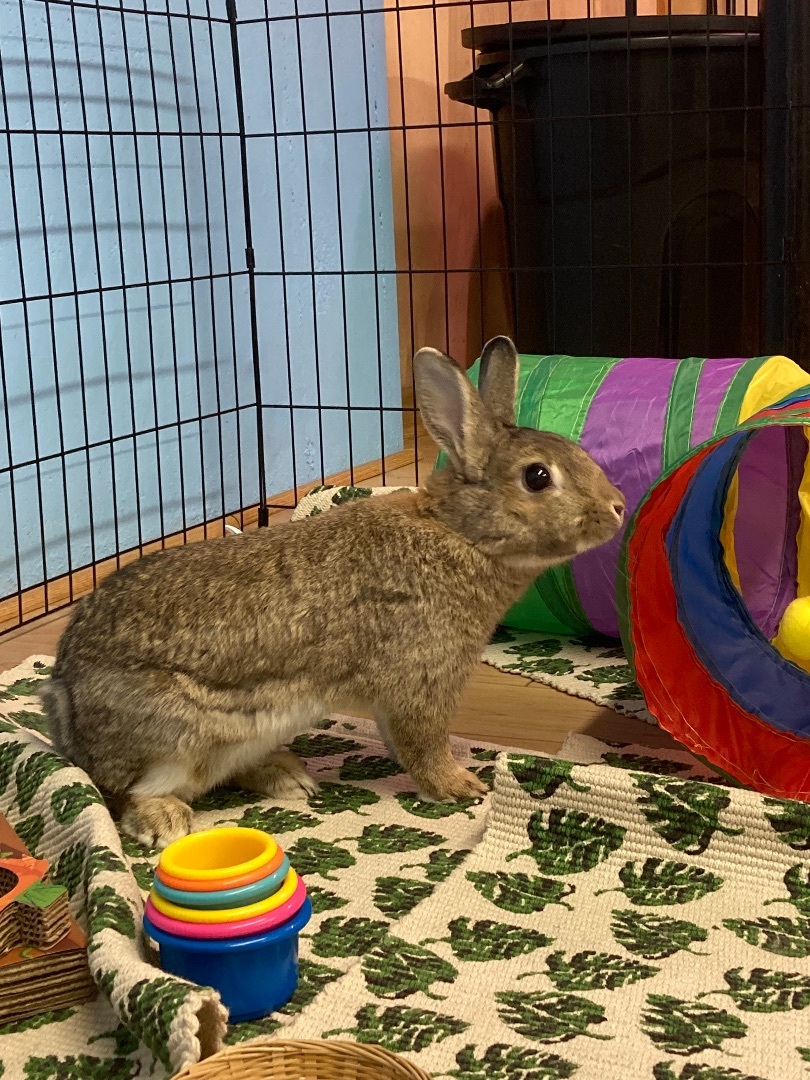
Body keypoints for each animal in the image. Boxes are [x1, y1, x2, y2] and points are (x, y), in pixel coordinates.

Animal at [40, 336, 625, 848]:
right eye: (537, 477)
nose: (618, 507)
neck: (462, 533)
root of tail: (65, 703)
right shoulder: (421, 677)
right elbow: (420, 741)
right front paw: (461, 787)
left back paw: (289, 777)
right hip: (175, 741)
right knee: (121, 793)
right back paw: (166, 820)